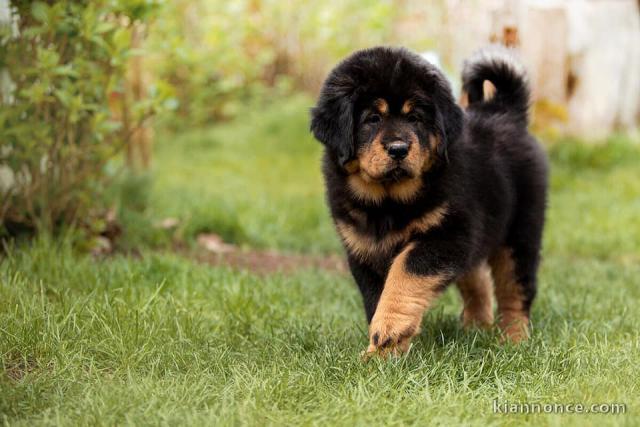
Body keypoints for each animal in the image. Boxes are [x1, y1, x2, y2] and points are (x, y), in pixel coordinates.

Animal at [312, 46, 552, 358]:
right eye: (372, 119)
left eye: (415, 118)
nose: (398, 148)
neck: (387, 202)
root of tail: (504, 110)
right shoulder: (363, 248)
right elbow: (376, 298)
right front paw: (383, 353)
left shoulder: (446, 235)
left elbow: (405, 272)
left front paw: (389, 331)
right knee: (477, 279)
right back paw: (476, 327)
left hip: (520, 232)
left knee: (516, 289)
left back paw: (513, 340)